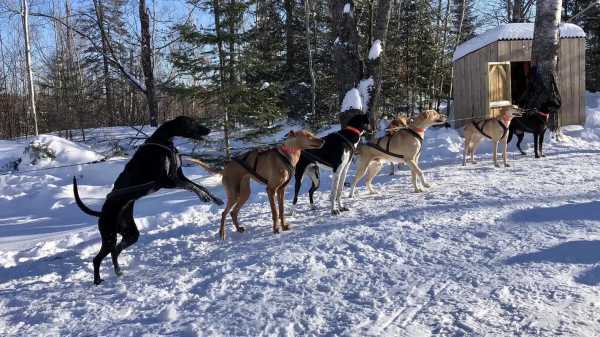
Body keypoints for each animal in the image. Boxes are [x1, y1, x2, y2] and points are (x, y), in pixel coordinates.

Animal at [72, 115, 223, 284]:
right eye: (191, 122)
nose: (208, 129)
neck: (165, 141)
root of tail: (101, 213)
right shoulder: (166, 180)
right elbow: (192, 187)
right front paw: (204, 197)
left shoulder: (178, 176)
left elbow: (201, 186)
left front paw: (215, 198)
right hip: (109, 236)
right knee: (97, 258)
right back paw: (98, 280)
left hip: (130, 234)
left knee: (115, 251)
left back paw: (118, 272)